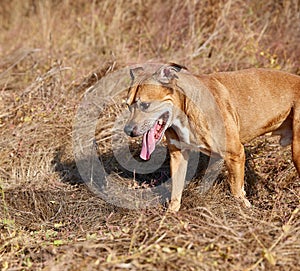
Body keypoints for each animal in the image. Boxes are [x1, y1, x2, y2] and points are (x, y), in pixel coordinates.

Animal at [123, 64, 298, 212]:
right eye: (128, 105)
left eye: (145, 105)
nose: (128, 130)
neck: (185, 109)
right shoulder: (178, 155)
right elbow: (176, 190)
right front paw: (171, 215)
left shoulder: (235, 154)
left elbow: (236, 190)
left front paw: (245, 210)